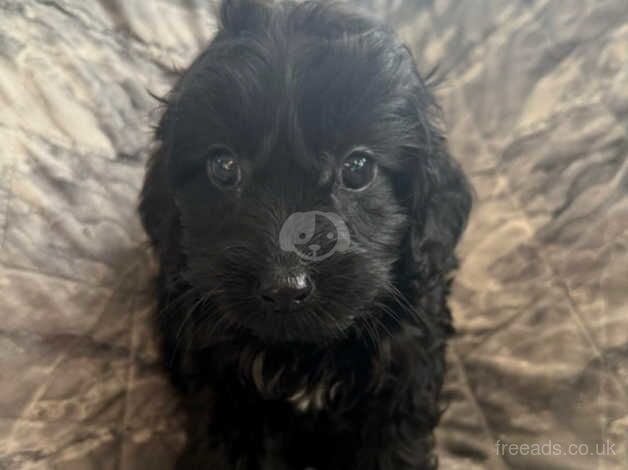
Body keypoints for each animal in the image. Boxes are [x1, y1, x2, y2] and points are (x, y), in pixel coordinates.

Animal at [139, 1, 472, 468]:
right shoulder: (222, 388)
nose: (285, 287)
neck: (303, 351)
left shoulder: (404, 370)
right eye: (223, 166)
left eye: (358, 168)